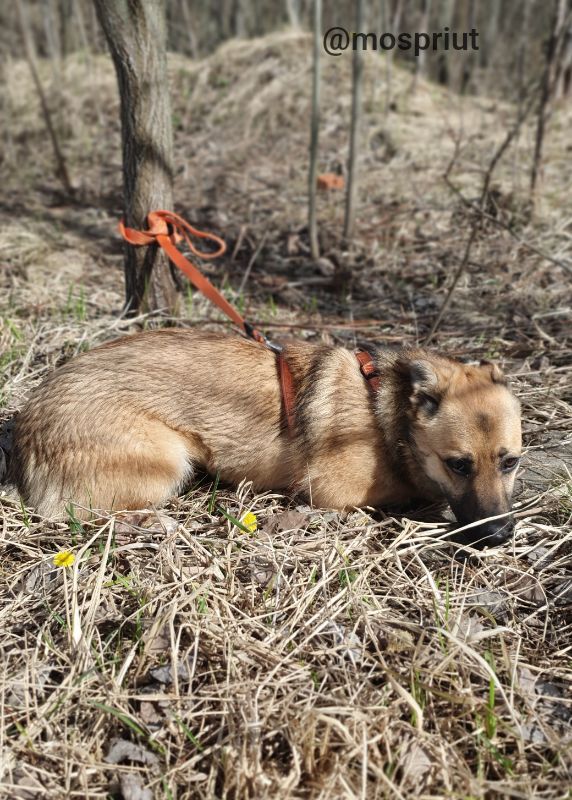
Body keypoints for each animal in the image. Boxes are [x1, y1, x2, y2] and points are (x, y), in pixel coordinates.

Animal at [8, 328, 520, 548]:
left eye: (510, 462)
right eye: (458, 464)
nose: (499, 537)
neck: (385, 409)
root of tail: (27, 427)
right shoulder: (334, 490)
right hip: (167, 460)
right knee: (85, 515)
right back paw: (155, 523)